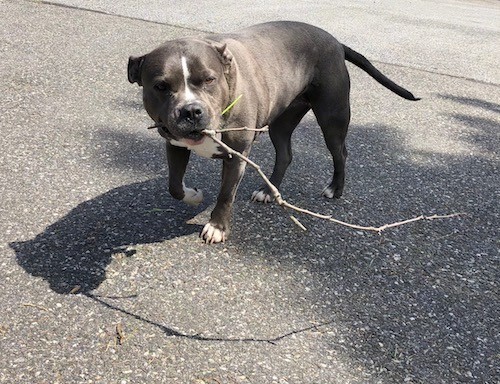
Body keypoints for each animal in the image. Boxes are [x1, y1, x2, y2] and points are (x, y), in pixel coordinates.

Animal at [128, 20, 418, 243]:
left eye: (209, 79)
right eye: (161, 86)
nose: (190, 111)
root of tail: (335, 41)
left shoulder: (237, 157)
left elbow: (226, 194)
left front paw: (217, 227)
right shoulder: (174, 144)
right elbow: (174, 186)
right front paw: (193, 196)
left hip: (332, 117)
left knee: (340, 152)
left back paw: (335, 188)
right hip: (282, 122)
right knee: (285, 154)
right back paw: (269, 191)